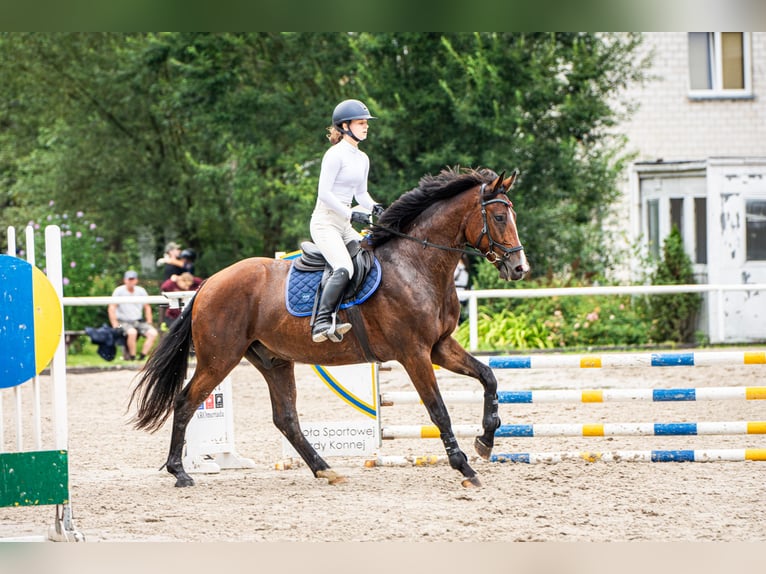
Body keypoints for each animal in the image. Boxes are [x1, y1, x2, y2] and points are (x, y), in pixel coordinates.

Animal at [129, 166, 532, 490]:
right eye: (499, 217)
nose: (519, 269)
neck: (415, 264)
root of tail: (207, 284)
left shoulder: (439, 347)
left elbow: (488, 377)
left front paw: (486, 440)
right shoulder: (414, 353)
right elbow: (439, 410)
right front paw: (464, 466)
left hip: (272, 360)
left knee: (286, 418)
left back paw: (325, 469)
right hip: (219, 358)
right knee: (186, 402)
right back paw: (180, 472)